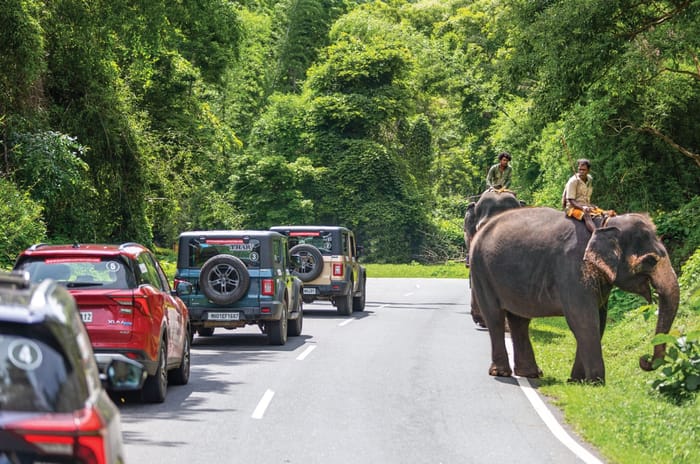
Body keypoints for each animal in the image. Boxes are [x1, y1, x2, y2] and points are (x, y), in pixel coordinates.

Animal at [470, 207, 679, 383]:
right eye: (650, 260)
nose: (644, 360)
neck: (603, 223)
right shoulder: (572, 269)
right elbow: (583, 319)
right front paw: (596, 382)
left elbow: (598, 321)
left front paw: (577, 381)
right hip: (481, 270)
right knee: (495, 316)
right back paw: (501, 373)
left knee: (520, 320)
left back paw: (531, 374)